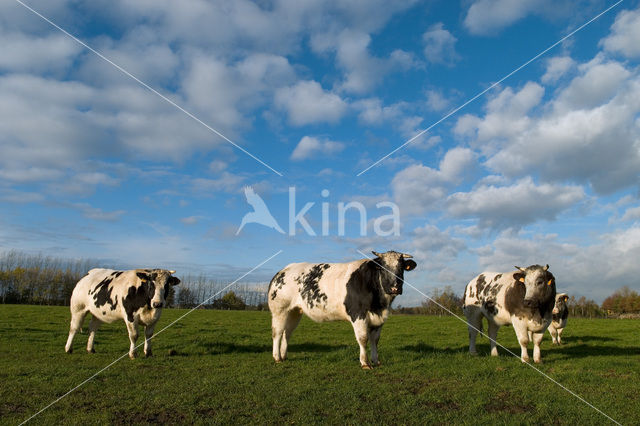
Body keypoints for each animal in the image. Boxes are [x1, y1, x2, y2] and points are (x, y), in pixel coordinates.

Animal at [268, 251, 418, 368]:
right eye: (382, 268)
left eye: (401, 268)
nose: (395, 287)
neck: (380, 303)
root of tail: (283, 270)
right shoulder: (358, 314)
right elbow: (363, 338)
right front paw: (365, 363)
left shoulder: (379, 318)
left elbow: (375, 340)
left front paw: (376, 361)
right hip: (280, 310)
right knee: (277, 332)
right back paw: (277, 358)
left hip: (294, 311)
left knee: (287, 333)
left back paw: (284, 356)